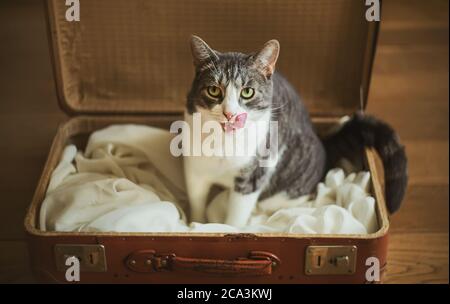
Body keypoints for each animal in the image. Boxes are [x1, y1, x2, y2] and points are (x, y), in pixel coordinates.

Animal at [183, 35, 408, 227]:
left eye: (247, 92)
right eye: (214, 90)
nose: (229, 113)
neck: (223, 142)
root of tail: (322, 141)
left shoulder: (254, 174)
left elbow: (236, 216)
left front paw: (229, 228)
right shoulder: (194, 170)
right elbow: (196, 200)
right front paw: (195, 224)